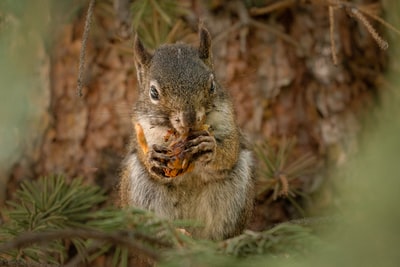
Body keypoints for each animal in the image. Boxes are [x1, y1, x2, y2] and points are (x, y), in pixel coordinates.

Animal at [119, 26, 255, 242]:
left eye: (212, 85)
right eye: (153, 93)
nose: (189, 119)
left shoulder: (229, 124)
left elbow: (230, 151)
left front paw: (210, 148)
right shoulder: (140, 127)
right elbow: (143, 153)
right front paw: (152, 158)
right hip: (139, 189)